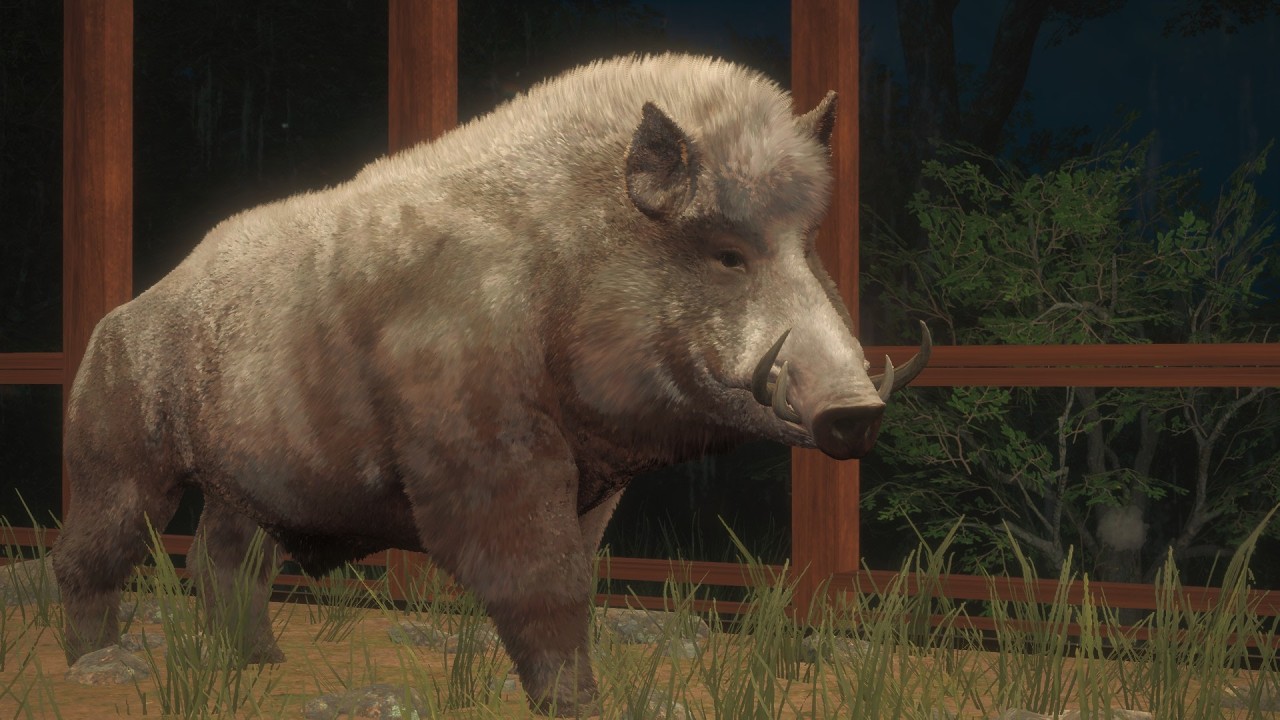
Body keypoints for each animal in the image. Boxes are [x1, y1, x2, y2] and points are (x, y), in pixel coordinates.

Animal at [53, 53, 929, 715]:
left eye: (807, 244)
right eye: (726, 253)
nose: (854, 412)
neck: (563, 267)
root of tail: (116, 323)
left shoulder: (595, 489)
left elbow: (578, 581)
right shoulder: (494, 465)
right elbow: (544, 587)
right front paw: (579, 704)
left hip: (245, 493)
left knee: (223, 562)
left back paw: (260, 666)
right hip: (123, 470)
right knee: (93, 554)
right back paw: (93, 663)